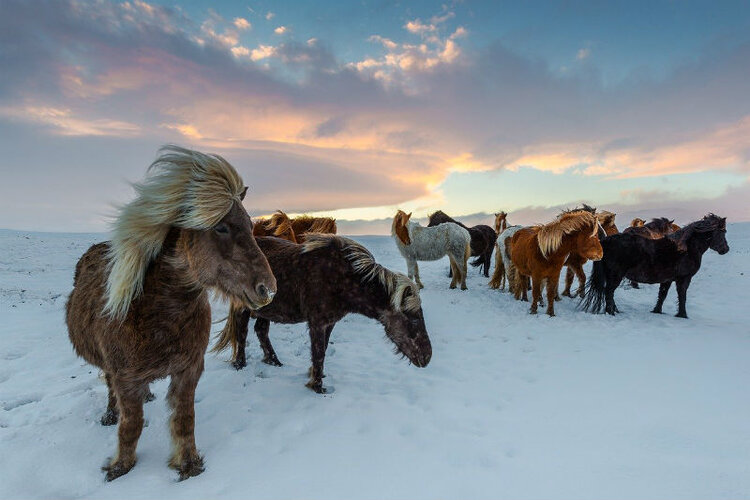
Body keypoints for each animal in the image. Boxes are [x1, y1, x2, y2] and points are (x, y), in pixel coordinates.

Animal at [65, 146, 276, 481]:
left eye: (250, 225)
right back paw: (111, 414)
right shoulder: (125, 378)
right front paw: (120, 468)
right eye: (221, 227)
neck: (158, 315)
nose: (267, 289)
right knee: (110, 388)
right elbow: (131, 425)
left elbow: (184, 419)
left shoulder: (188, 370)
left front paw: (188, 465)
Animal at [214, 234, 432, 393]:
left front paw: (315, 376)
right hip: (244, 308)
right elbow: (318, 353)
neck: (343, 278)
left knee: (261, 331)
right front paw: (317, 387)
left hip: (266, 310)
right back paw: (240, 364)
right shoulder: (317, 322)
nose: (427, 357)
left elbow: (323, 350)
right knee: (241, 333)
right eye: (413, 319)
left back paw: (274, 362)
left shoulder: (330, 323)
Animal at [580, 214, 728, 318]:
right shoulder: (684, 279)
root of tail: (605, 241)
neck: (685, 249)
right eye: (723, 232)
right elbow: (682, 296)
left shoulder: (667, 280)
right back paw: (611, 312)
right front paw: (683, 315)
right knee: (609, 292)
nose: (726, 249)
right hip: (616, 275)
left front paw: (657, 311)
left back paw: (616, 310)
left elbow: (662, 295)